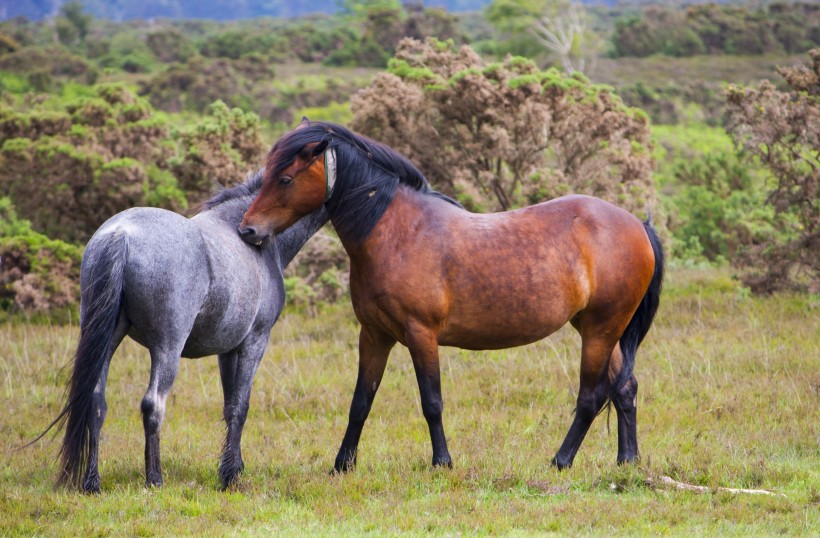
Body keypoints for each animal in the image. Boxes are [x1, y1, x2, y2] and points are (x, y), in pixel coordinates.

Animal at [34, 169, 330, 490]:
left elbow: (229, 406)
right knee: (153, 404)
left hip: (106, 339)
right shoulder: (254, 342)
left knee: (96, 401)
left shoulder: (228, 349)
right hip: (167, 347)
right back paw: (155, 479)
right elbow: (240, 407)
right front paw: (230, 477)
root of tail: (121, 235)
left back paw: (92, 483)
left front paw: (232, 467)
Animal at [240, 120, 664, 468]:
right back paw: (627, 460)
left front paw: (442, 461)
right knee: (625, 388)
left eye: (285, 179)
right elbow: (361, 402)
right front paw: (342, 464)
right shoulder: (374, 335)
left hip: (599, 330)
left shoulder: (421, 334)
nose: (248, 230)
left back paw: (560, 460)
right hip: (602, 330)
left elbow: (432, 401)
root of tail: (638, 226)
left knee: (591, 396)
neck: (397, 232)